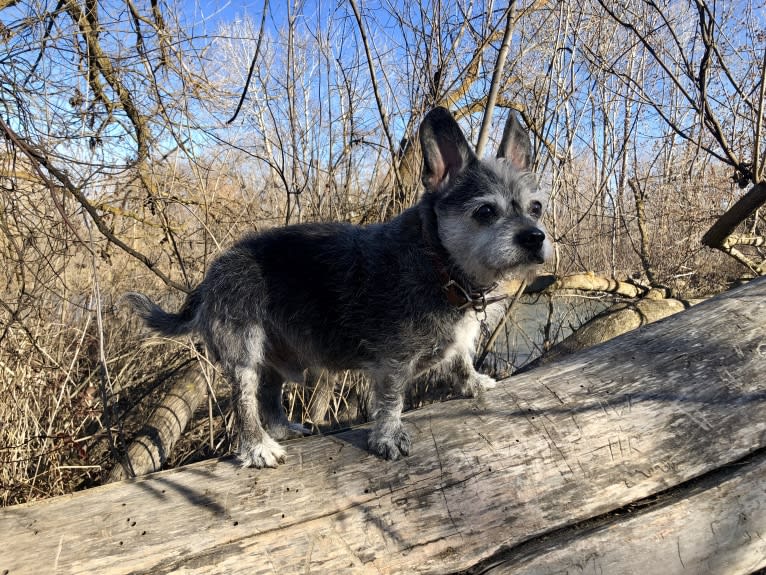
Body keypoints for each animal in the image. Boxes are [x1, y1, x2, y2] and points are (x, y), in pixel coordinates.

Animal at [129, 108, 556, 468]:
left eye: (535, 208)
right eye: (485, 211)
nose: (535, 238)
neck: (439, 264)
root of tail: (212, 273)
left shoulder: (455, 338)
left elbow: (462, 358)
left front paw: (473, 383)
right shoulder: (392, 361)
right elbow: (391, 399)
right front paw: (388, 437)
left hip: (278, 355)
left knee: (269, 394)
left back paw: (282, 429)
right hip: (244, 350)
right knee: (245, 399)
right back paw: (258, 446)